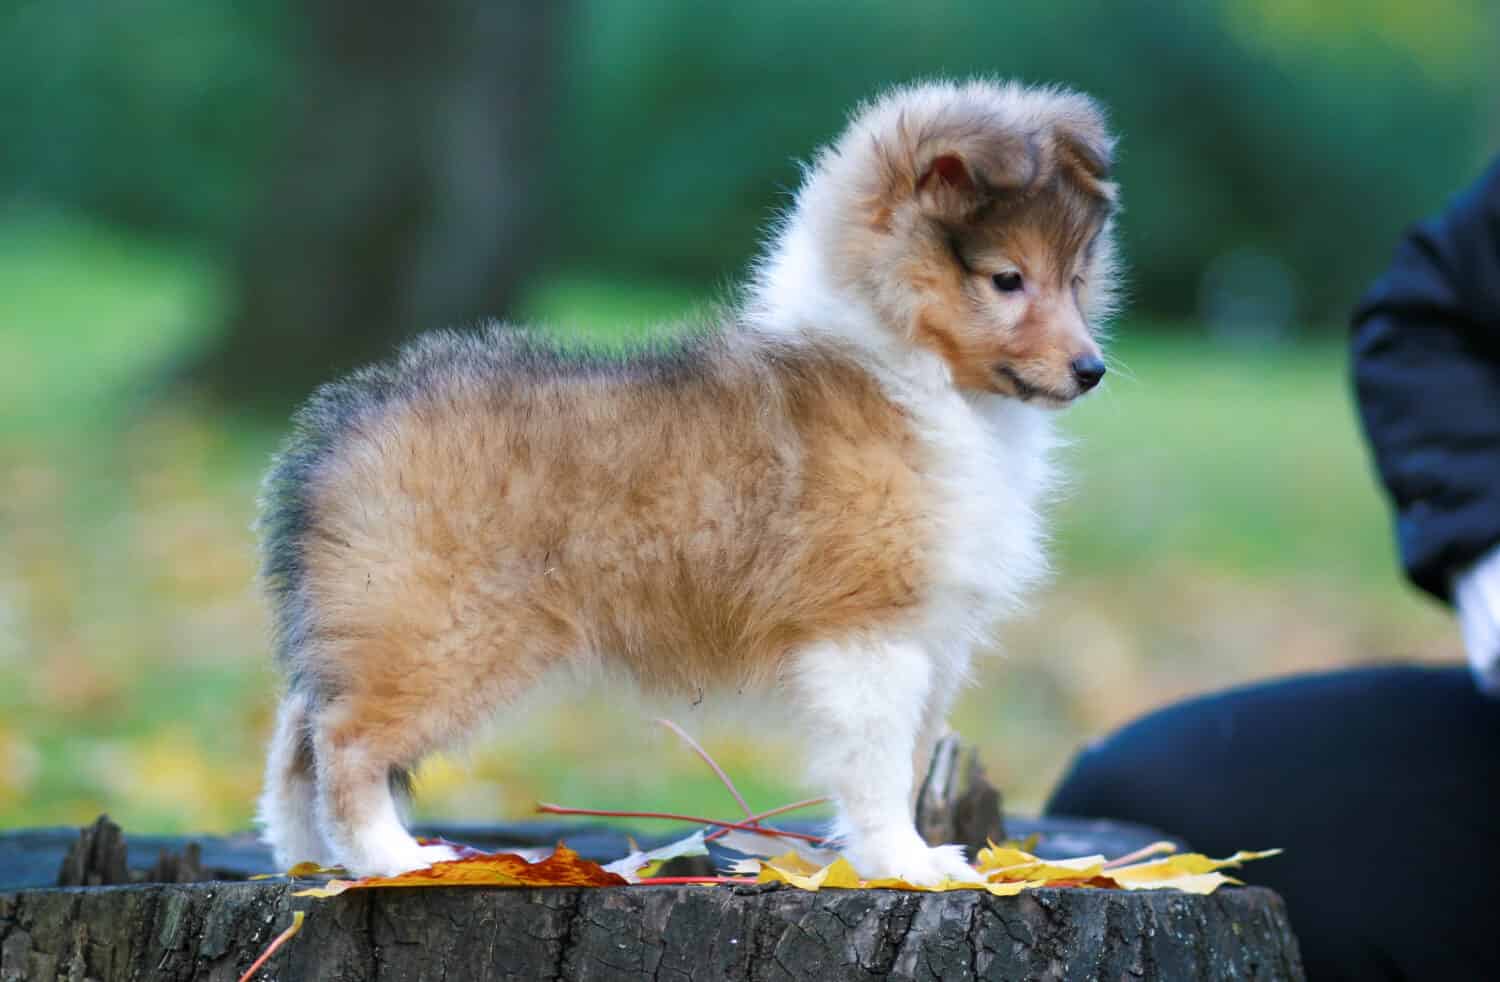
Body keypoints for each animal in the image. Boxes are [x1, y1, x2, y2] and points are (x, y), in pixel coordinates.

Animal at [258, 80, 1122, 887]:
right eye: (1006, 279)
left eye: (1077, 279)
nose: (1092, 371)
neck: (911, 370)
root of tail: (339, 432)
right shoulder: (868, 630)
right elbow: (877, 768)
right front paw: (906, 864)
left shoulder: (929, 636)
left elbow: (907, 760)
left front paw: (904, 858)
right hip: (443, 636)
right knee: (345, 743)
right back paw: (391, 858)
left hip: (373, 626)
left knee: (297, 739)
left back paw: (308, 862)